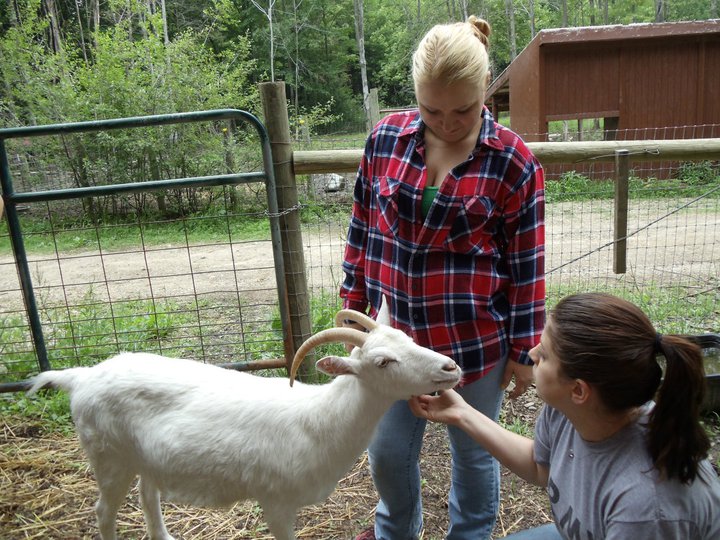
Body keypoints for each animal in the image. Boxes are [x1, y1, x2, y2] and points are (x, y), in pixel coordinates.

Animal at [28, 304, 458, 540]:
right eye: (383, 362)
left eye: (408, 337)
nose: (450, 367)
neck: (320, 420)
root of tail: (80, 377)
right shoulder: (276, 502)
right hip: (108, 457)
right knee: (104, 512)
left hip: (144, 457)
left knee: (147, 494)